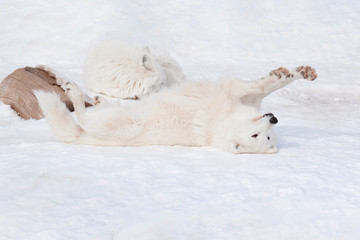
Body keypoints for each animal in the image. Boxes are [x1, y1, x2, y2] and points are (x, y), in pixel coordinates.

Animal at [33, 65, 316, 154]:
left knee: (82, 117)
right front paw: (292, 73)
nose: (274, 119)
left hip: (118, 123)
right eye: (257, 135)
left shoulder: (232, 91)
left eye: (264, 137)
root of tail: (84, 139)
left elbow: (261, 86)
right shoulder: (241, 95)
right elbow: (267, 85)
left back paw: (73, 91)